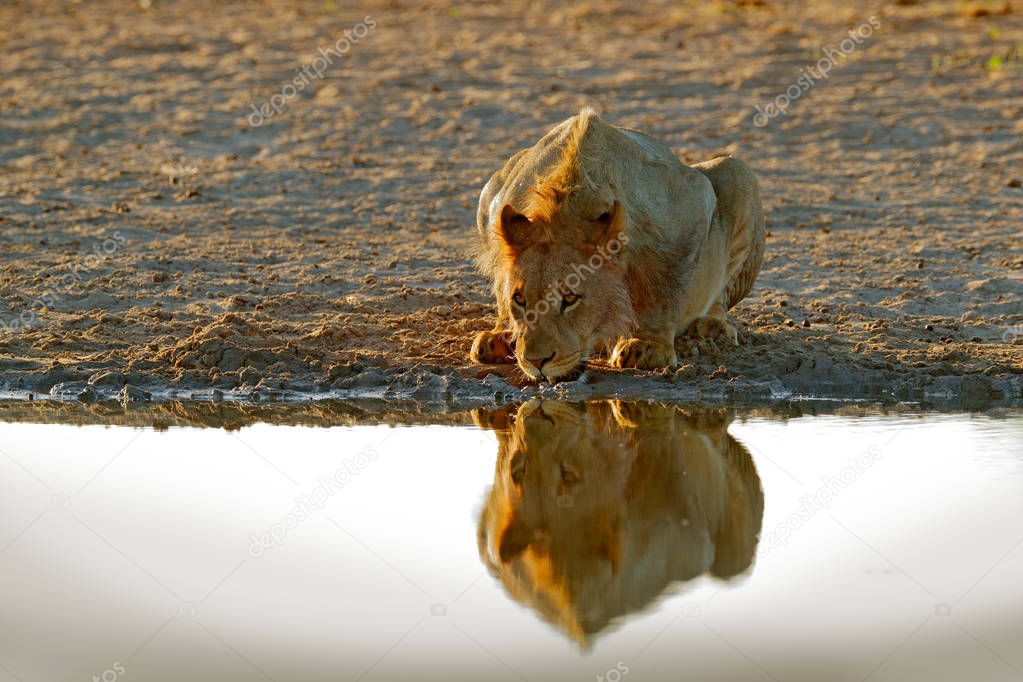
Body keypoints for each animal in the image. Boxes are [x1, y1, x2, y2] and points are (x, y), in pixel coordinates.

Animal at [468, 109, 765, 382]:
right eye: (519, 299)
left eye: (570, 298)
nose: (536, 361)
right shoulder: (496, 204)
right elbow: (500, 284)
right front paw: (502, 333)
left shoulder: (691, 203)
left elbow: (665, 287)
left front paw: (647, 345)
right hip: (491, 185)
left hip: (737, 172)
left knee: (721, 292)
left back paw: (711, 328)